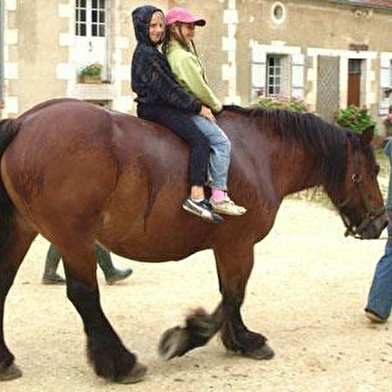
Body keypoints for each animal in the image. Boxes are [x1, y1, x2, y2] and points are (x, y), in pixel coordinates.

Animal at [0, 99, 388, 382]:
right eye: (372, 171)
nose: (381, 222)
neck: (259, 153)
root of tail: (24, 123)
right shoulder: (239, 246)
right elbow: (233, 296)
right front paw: (193, 336)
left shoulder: (225, 246)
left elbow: (229, 295)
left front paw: (237, 339)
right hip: (74, 239)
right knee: (84, 297)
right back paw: (121, 363)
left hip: (25, 230)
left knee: (4, 286)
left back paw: (6, 361)